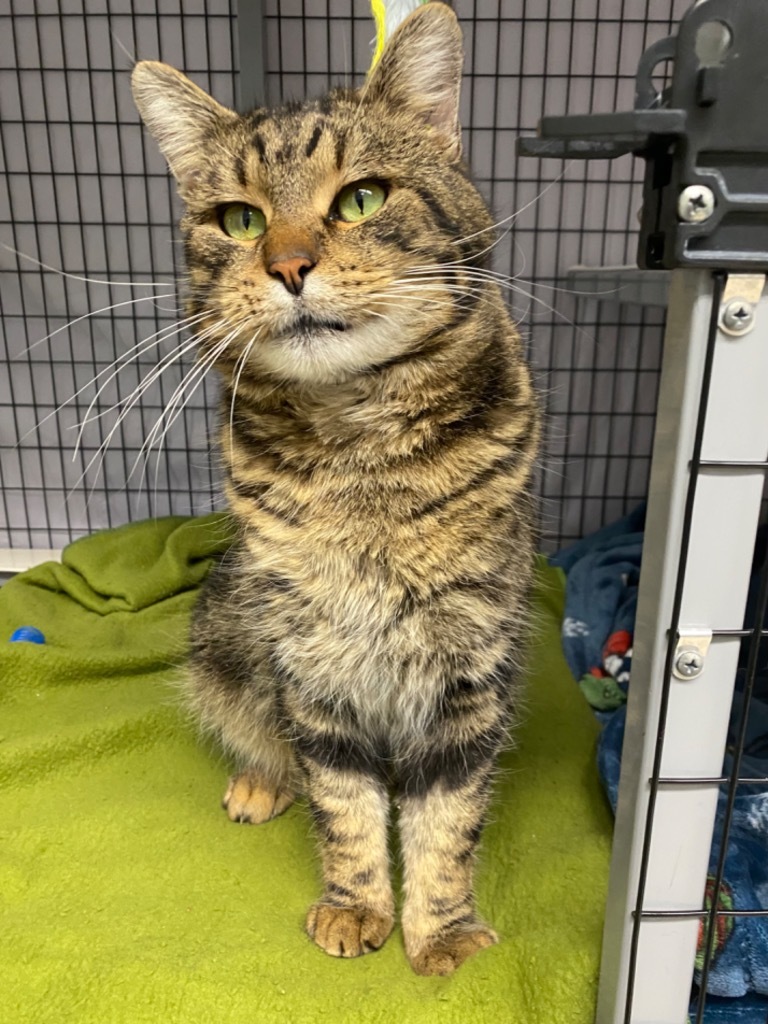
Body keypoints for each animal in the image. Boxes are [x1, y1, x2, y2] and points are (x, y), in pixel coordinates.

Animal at [132, 0, 540, 974]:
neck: (357, 450)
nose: (286, 266)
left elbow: (446, 817)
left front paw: (442, 929)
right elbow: (344, 801)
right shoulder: (310, 658)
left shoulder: (470, 666)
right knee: (264, 733)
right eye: (239, 219)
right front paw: (356, 905)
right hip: (224, 641)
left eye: (361, 198)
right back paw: (258, 780)